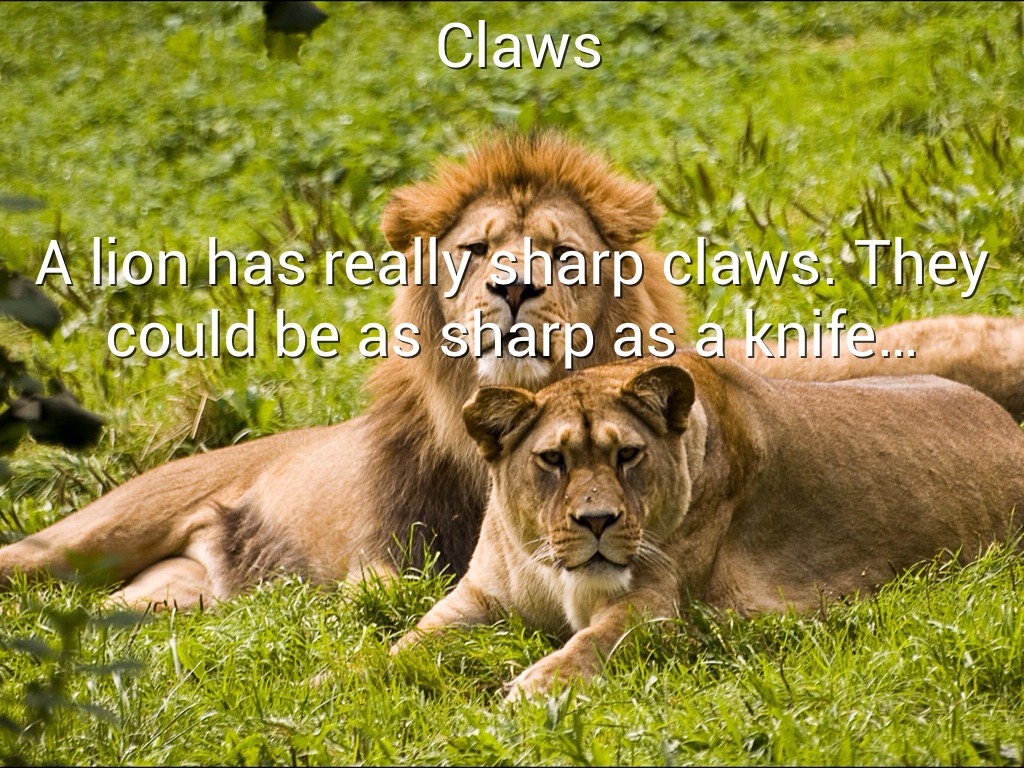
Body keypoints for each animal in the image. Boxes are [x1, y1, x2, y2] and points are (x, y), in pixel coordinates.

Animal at [395, 357, 1024, 698]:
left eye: (628, 455)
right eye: (553, 460)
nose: (597, 520)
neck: (556, 572)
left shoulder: (657, 609)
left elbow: (592, 643)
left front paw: (533, 689)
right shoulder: (479, 598)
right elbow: (403, 645)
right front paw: (365, 679)